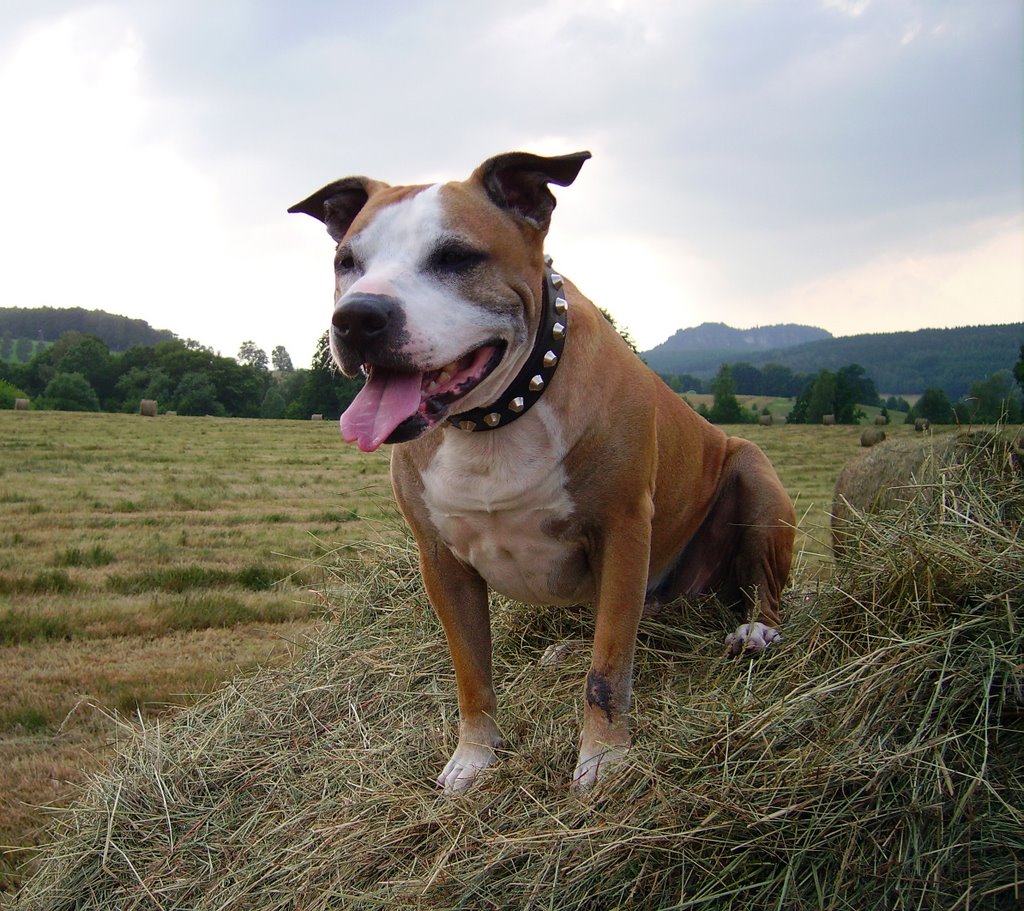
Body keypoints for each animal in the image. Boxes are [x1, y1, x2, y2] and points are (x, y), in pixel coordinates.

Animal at [292, 149, 794, 790]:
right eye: (347, 262)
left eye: (455, 257)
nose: (357, 317)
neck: (498, 414)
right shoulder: (440, 561)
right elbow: (472, 672)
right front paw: (474, 758)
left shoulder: (622, 532)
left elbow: (607, 674)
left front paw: (604, 761)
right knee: (629, 627)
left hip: (753, 474)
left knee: (743, 597)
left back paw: (754, 632)